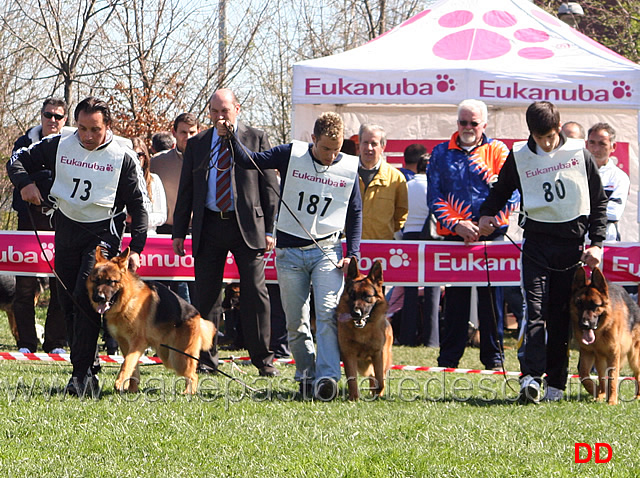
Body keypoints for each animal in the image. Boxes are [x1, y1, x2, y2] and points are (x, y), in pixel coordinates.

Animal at [87, 246, 215, 392]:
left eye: (110, 281)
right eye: (96, 280)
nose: (98, 298)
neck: (127, 301)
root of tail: (197, 315)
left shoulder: (138, 342)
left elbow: (127, 362)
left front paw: (120, 381)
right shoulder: (124, 343)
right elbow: (133, 366)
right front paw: (132, 389)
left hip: (178, 358)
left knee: (193, 375)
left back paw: (188, 392)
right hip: (168, 355)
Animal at [338, 260, 392, 402]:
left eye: (367, 296)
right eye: (352, 295)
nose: (355, 313)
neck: (363, 331)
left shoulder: (378, 355)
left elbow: (380, 379)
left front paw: (378, 393)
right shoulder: (349, 355)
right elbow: (352, 379)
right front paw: (354, 399)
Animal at [568, 268, 640, 406]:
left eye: (595, 305)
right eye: (579, 304)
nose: (584, 325)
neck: (600, 332)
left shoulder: (613, 353)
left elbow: (612, 377)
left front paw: (612, 400)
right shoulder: (588, 352)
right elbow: (584, 375)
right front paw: (598, 393)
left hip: (635, 357)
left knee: (637, 374)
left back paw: (638, 396)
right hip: (601, 359)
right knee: (601, 375)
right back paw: (601, 393)